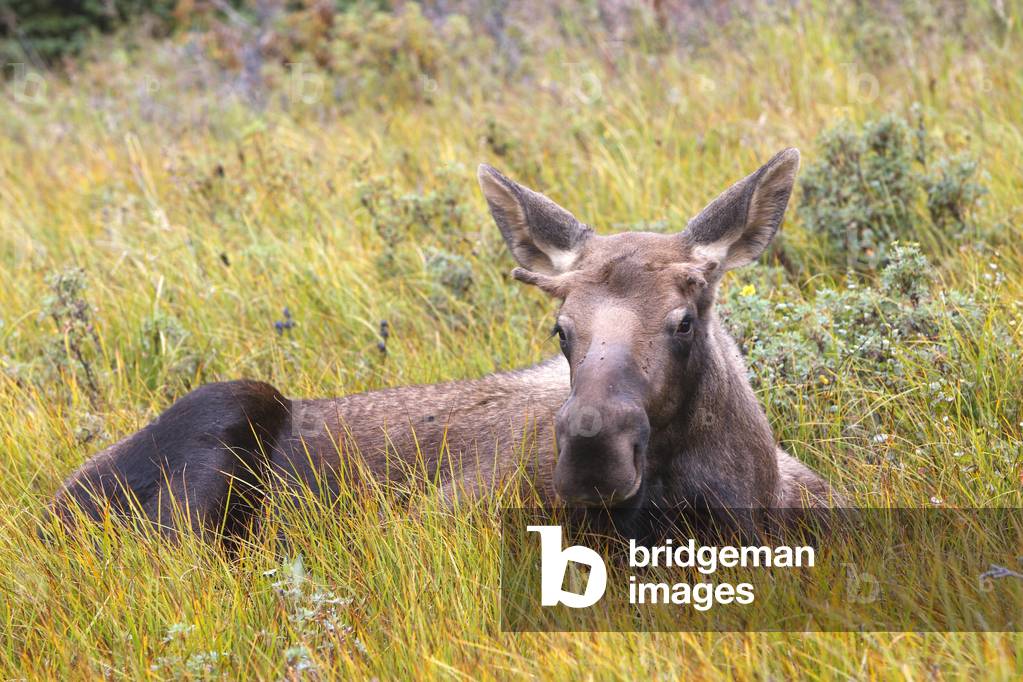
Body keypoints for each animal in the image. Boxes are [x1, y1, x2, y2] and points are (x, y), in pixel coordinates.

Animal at [49, 148, 842, 542]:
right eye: (561, 330)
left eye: (684, 320)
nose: (592, 450)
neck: (733, 495)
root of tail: (51, 507)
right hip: (228, 407)